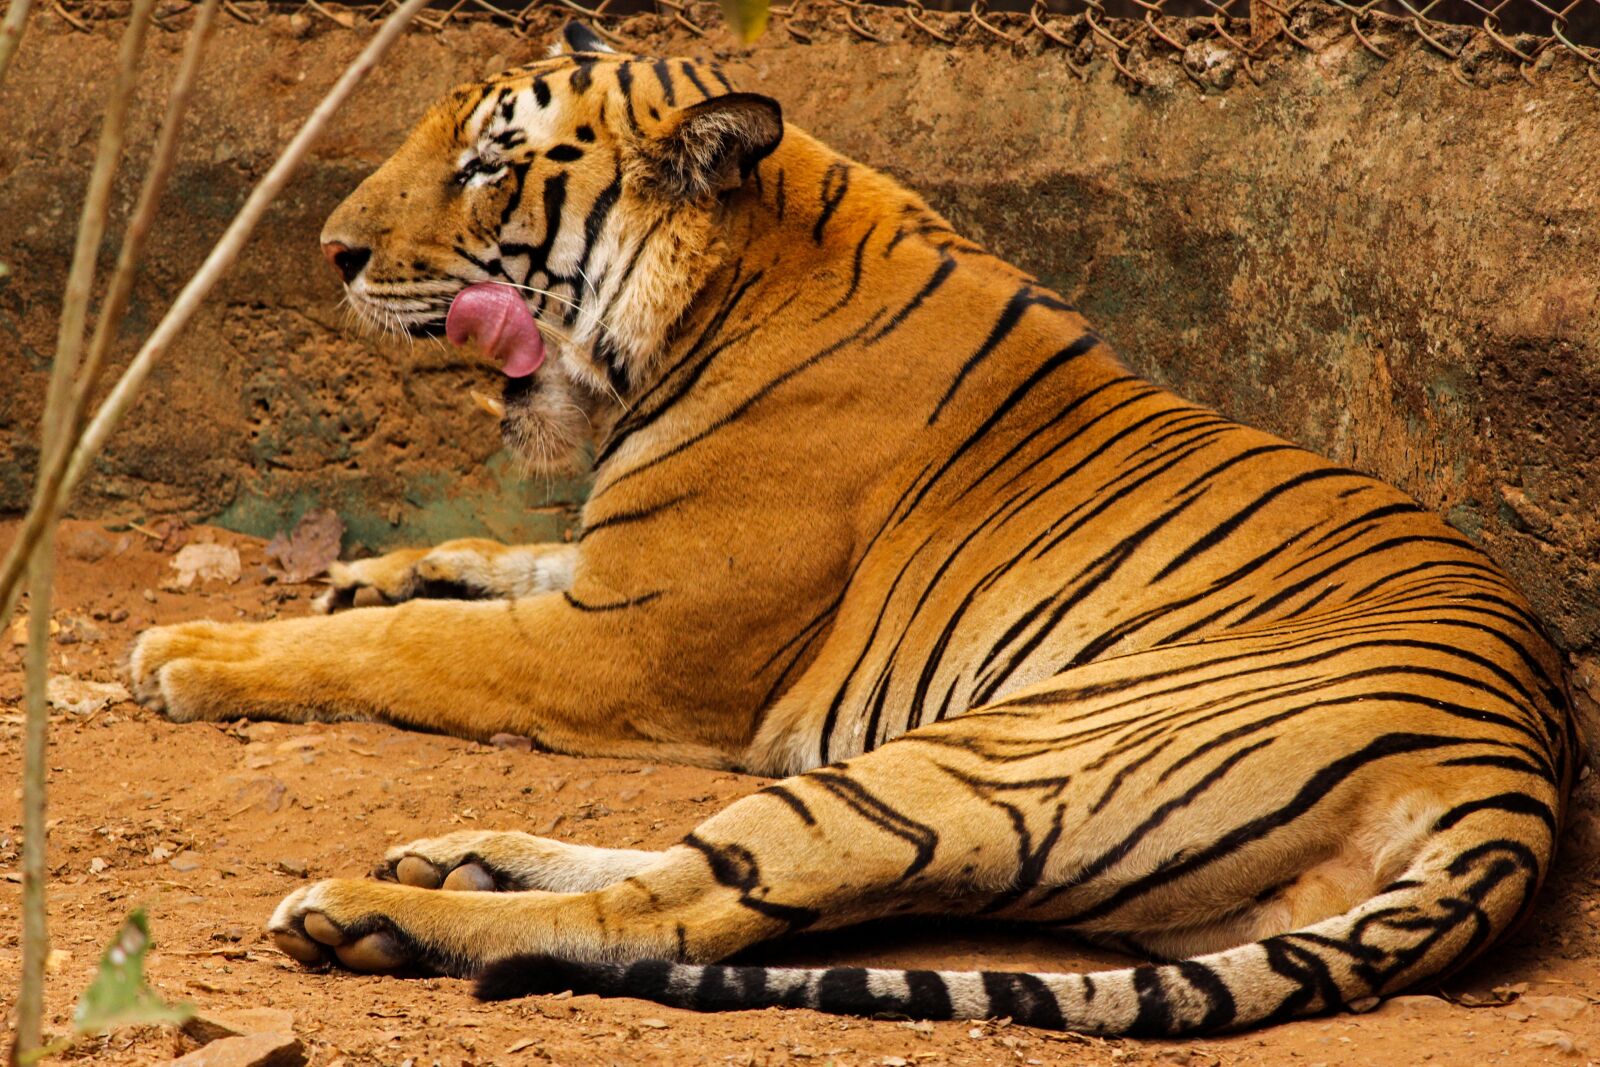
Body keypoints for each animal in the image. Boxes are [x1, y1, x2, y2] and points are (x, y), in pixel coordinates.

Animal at [128, 21, 1579, 1037]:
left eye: (486, 164)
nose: (330, 251)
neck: (721, 288)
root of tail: (1514, 781)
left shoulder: (630, 643)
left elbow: (413, 648)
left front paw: (193, 651)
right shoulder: (612, 574)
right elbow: (486, 564)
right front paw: (366, 570)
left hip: (976, 756)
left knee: (668, 912)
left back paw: (373, 907)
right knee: (696, 875)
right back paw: (463, 850)